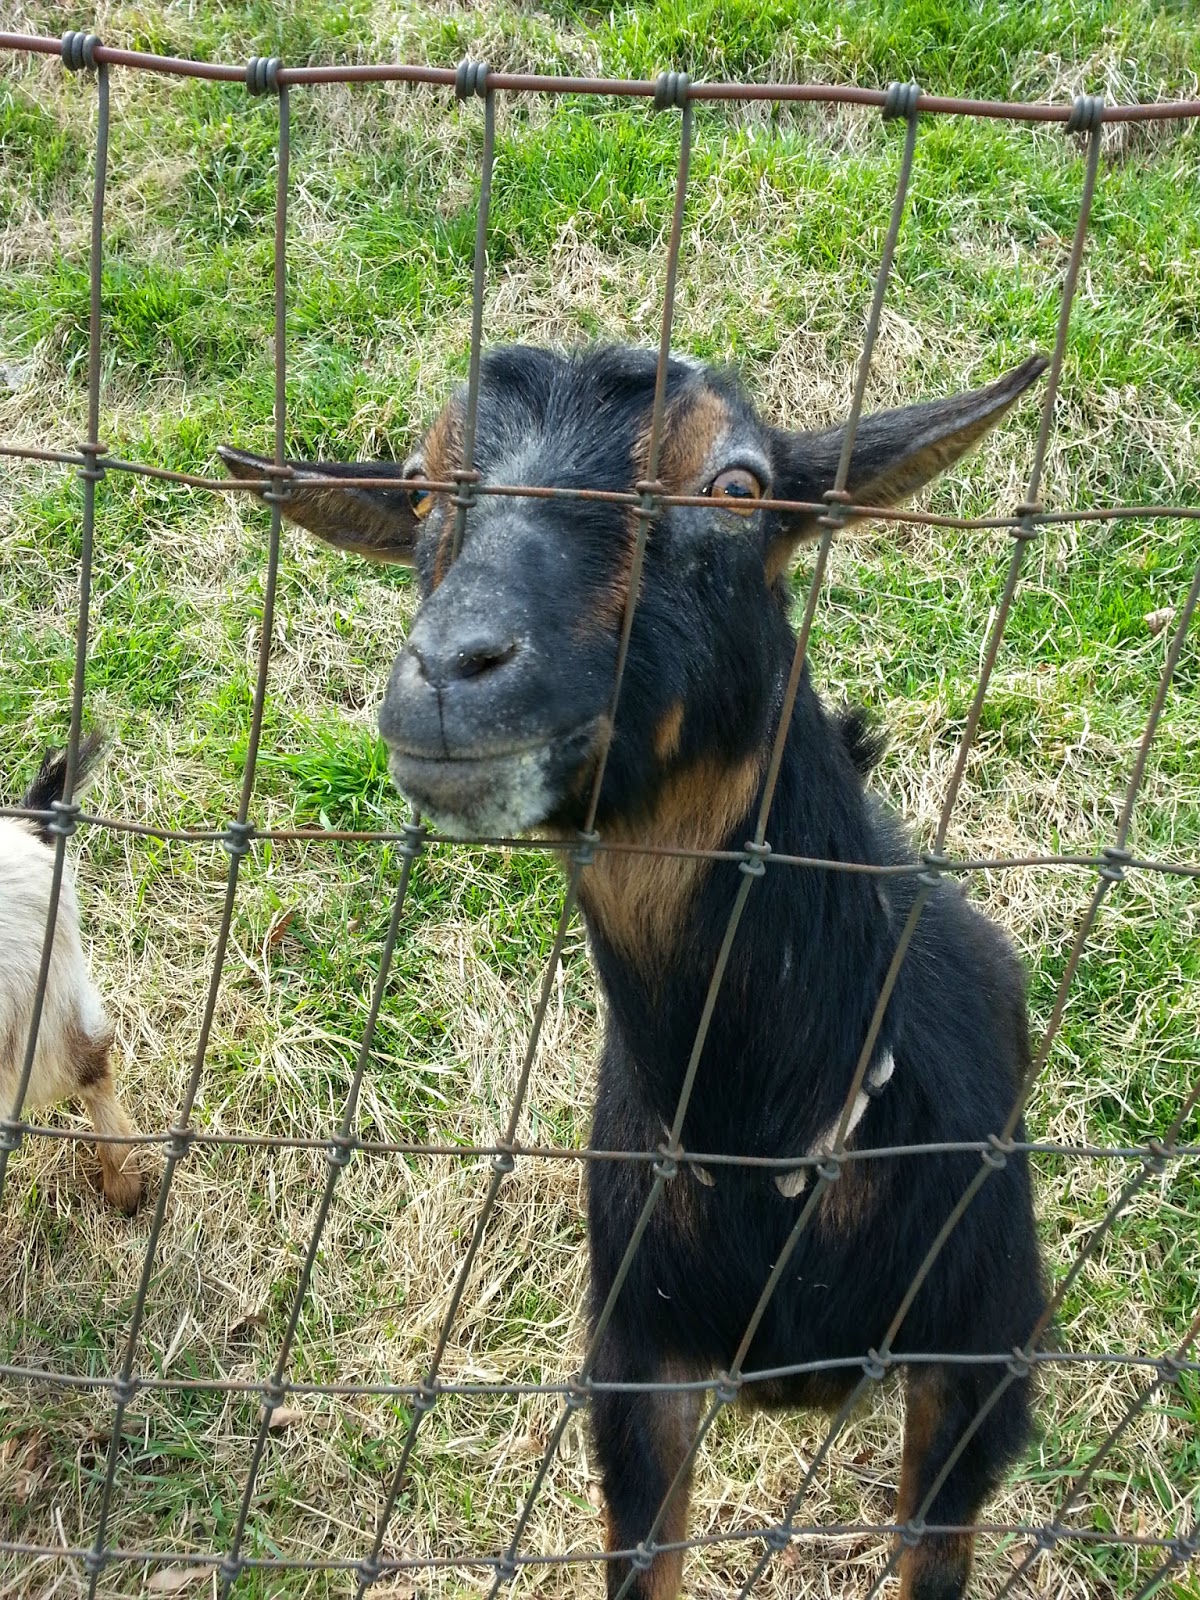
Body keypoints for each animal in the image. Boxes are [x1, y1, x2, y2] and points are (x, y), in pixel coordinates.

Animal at [222, 345, 1048, 1599]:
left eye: (737, 486)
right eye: (419, 488)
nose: (454, 670)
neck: (771, 1143)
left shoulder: (982, 1355)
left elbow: (933, 1550)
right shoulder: (632, 1370)